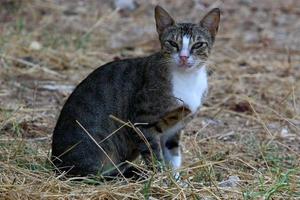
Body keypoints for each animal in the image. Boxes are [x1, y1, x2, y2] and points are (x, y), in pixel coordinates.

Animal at [51, 5, 220, 178]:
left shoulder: (174, 128)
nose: (184, 57)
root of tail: (56, 161)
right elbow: (153, 155)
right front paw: (160, 178)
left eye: (198, 44)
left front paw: (176, 180)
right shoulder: (142, 121)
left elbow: (173, 158)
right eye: (172, 43)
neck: (187, 80)